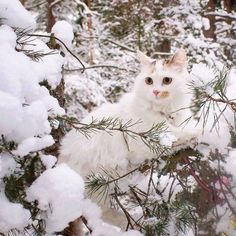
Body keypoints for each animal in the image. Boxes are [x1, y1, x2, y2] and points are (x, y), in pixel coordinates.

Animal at [58, 48, 194, 177]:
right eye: (149, 81)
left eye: (167, 80)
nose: (155, 91)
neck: (166, 112)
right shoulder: (144, 144)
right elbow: (180, 135)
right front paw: (197, 133)